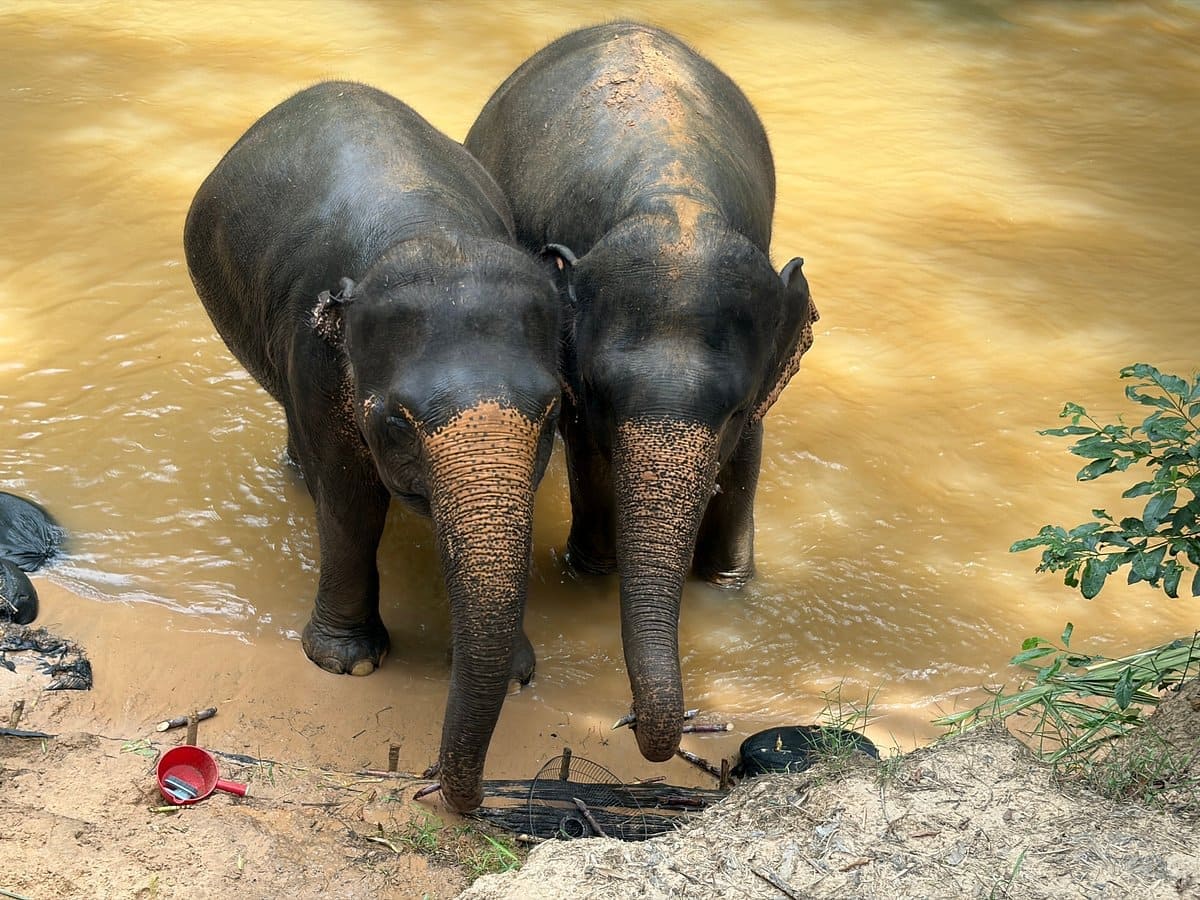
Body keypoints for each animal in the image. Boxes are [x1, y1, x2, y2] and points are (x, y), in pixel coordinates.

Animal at [184, 80, 562, 812]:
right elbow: (350, 496)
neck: (423, 231)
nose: (457, 797)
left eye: (554, 408)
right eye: (397, 421)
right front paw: (348, 663)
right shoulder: (316, 358)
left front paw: (515, 672)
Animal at [465, 23, 818, 765]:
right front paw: (593, 570)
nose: (629, 722)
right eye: (601, 394)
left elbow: (748, 459)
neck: (675, 202)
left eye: (735, 407)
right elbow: (589, 461)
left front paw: (728, 585)